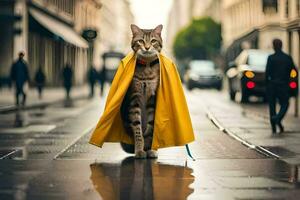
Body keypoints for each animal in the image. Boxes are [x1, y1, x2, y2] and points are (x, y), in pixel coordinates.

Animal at [120, 23, 163, 158]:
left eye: (153, 41)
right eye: (141, 41)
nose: (147, 47)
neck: (147, 68)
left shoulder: (152, 98)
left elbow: (151, 126)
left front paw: (150, 148)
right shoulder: (134, 99)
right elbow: (137, 128)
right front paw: (139, 150)